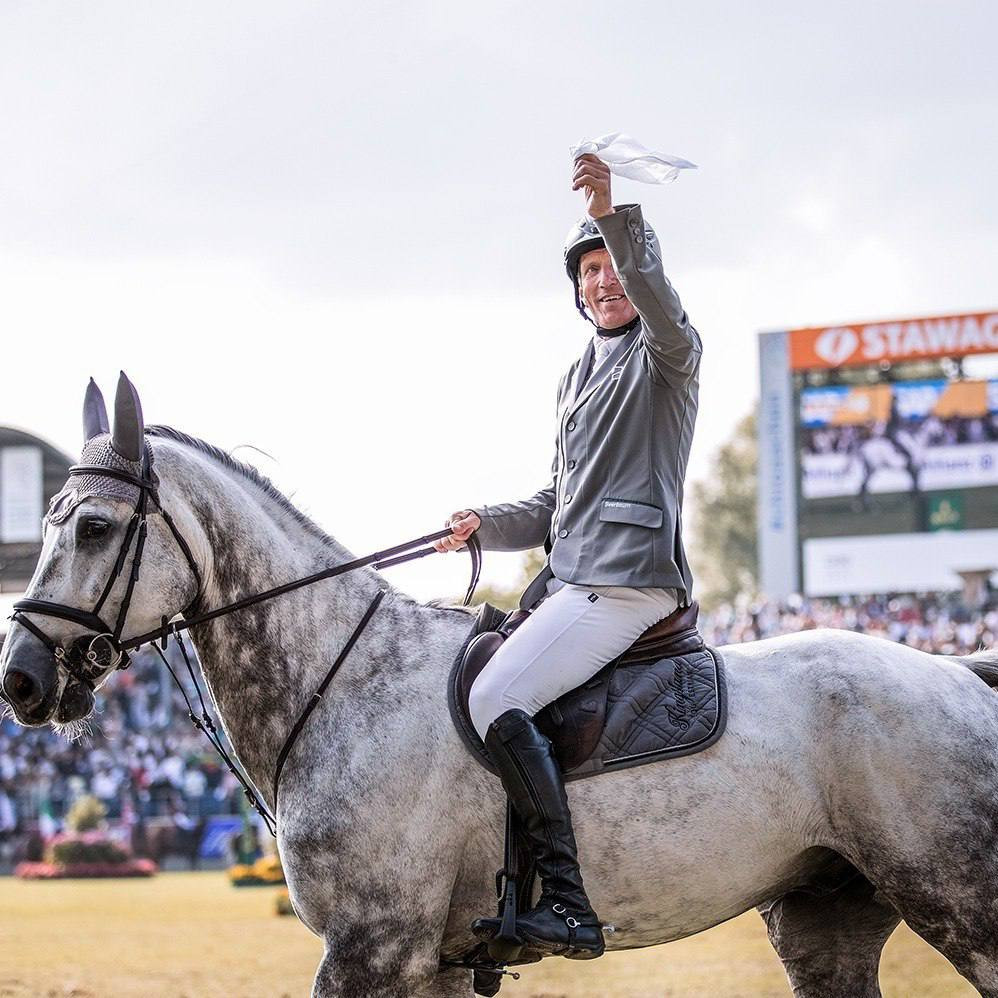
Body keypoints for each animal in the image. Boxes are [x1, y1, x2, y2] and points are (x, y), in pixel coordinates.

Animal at [1, 376, 998, 998]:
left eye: (93, 527)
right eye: (47, 521)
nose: (21, 681)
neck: (343, 680)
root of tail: (960, 671)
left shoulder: (371, 951)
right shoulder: (433, 960)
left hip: (964, 907)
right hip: (825, 922)